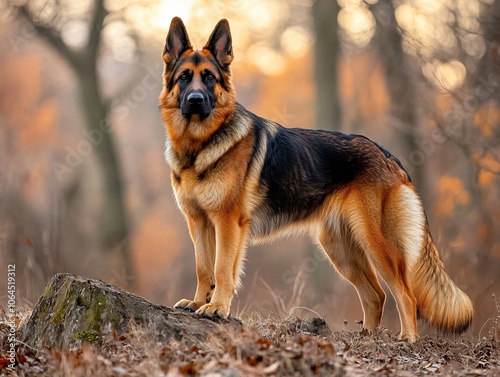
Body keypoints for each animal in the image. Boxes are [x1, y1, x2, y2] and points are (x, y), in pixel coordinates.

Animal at [159, 16, 472, 340]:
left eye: (209, 78)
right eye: (184, 78)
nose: (195, 100)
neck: (200, 146)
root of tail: (387, 155)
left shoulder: (227, 224)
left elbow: (221, 269)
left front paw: (217, 307)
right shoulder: (198, 223)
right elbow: (203, 268)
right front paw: (199, 302)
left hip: (376, 244)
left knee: (405, 295)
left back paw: (407, 339)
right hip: (340, 250)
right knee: (376, 295)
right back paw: (366, 337)